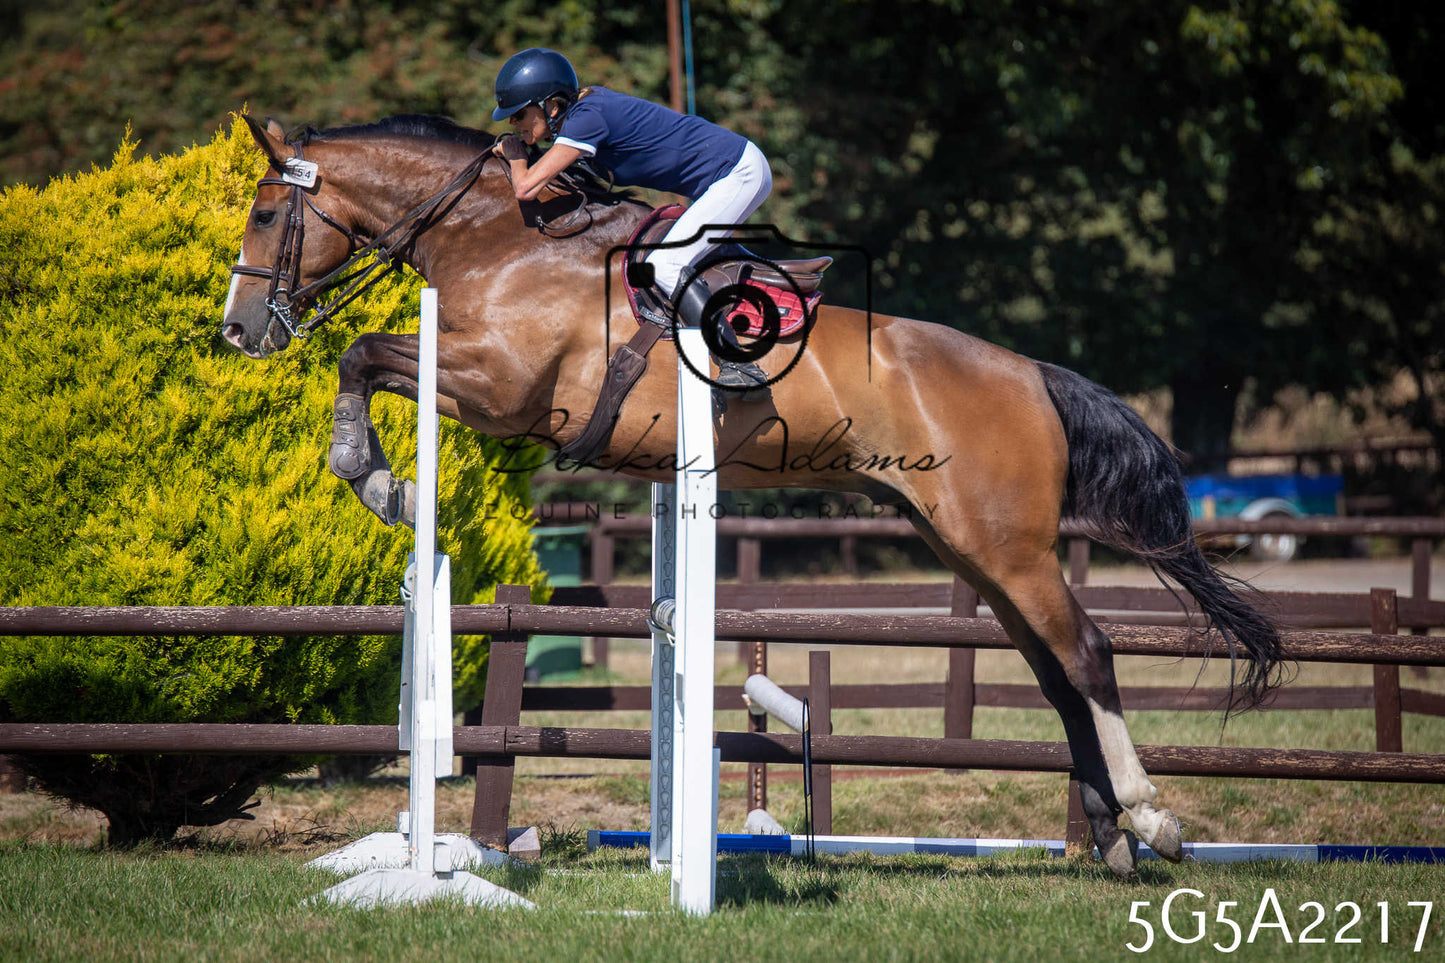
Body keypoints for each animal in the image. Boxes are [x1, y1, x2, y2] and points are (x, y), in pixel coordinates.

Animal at [221, 113, 1284, 878]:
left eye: (268, 217)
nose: (240, 329)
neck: (497, 236)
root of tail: (1028, 371)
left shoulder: (501, 389)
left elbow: (362, 352)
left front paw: (373, 474)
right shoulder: (482, 385)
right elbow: (364, 359)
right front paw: (376, 475)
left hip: (1008, 545)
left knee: (1090, 654)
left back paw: (1153, 818)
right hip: (972, 547)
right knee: (1056, 672)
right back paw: (1111, 838)